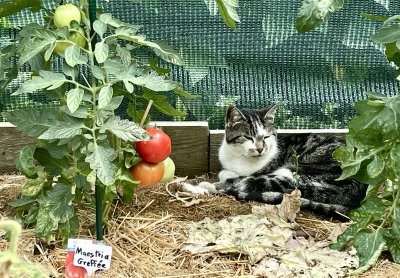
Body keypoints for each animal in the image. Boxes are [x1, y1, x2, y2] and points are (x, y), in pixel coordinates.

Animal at [195, 105, 368, 215]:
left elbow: (233, 179)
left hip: (295, 172)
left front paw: (209, 184)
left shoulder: (261, 171)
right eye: (248, 137)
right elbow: (226, 173)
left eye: (266, 137)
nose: (260, 149)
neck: (240, 157)